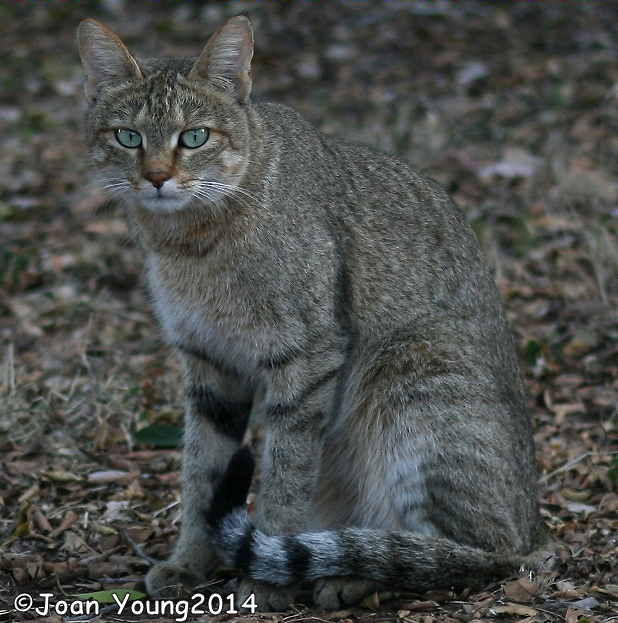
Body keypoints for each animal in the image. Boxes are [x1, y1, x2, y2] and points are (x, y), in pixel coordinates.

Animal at [78, 17, 548, 612]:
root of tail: (535, 535)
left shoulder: (306, 358)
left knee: (465, 555)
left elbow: (285, 474)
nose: (157, 177)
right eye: (129, 137)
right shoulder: (209, 363)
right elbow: (201, 472)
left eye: (194, 137)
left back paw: (358, 571)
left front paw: (263, 581)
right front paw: (190, 563)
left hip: (411, 374)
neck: (191, 244)